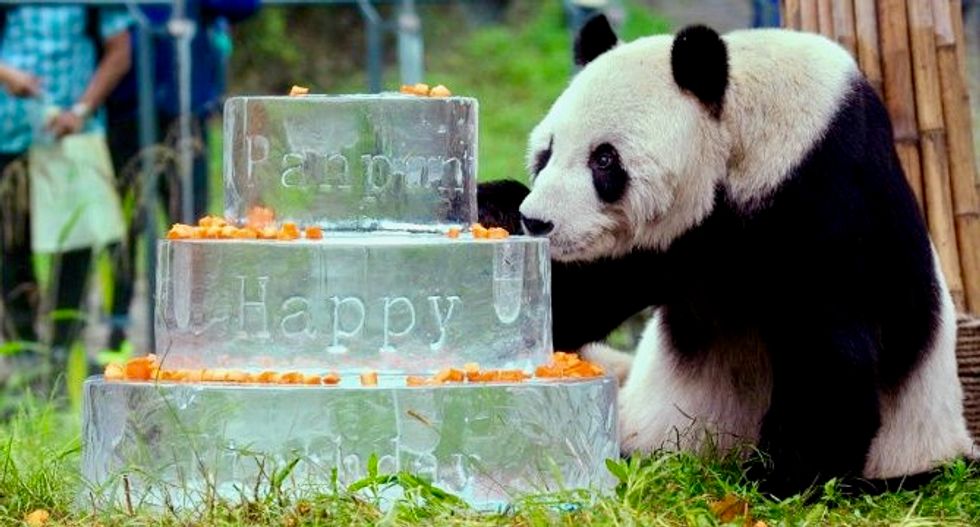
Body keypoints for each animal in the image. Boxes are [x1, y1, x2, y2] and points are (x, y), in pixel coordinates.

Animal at [478, 16, 976, 497]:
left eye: (604, 160)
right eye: (546, 152)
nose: (538, 222)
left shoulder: (826, 195)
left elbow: (829, 351)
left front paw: (781, 480)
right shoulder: (667, 244)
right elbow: (577, 302)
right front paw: (494, 210)